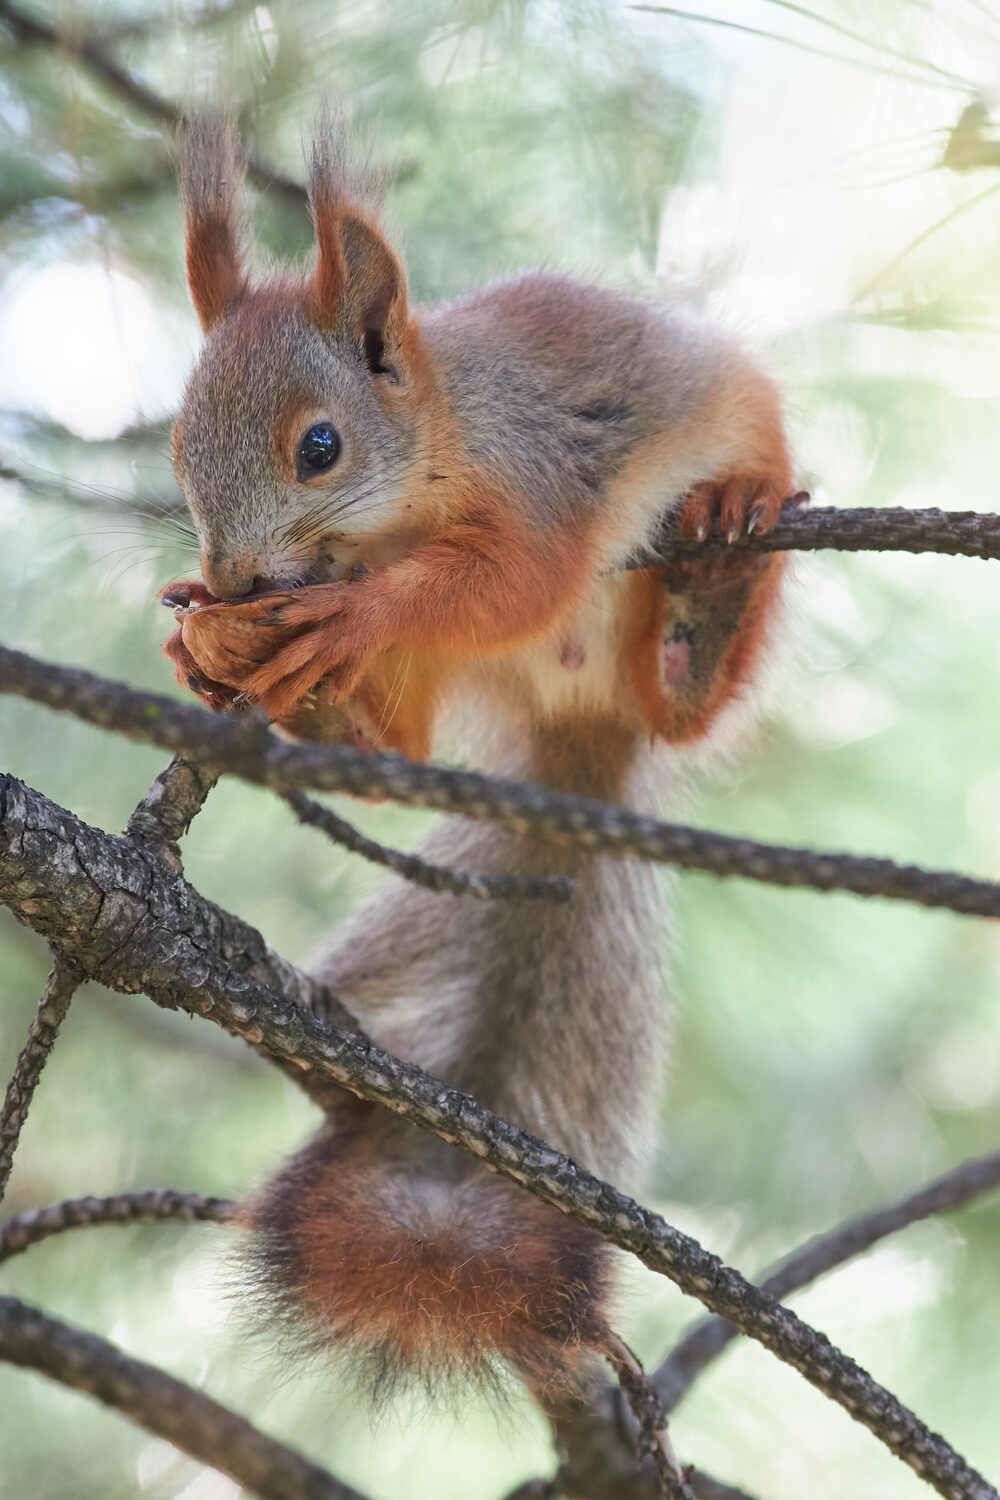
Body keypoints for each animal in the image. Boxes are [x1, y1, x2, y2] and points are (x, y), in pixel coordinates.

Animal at [160, 117, 798, 1419]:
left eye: (319, 446)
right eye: (174, 444)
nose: (238, 581)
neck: (429, 458)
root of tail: (577, 733)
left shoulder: (540, 478)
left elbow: (517, 579)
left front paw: (352, 608)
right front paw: (211, 645)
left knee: (684, 706)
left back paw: (716, 579)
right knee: (391, 755)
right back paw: (327, 713)